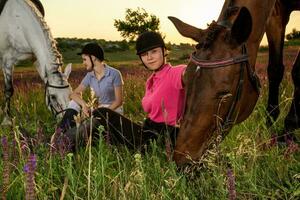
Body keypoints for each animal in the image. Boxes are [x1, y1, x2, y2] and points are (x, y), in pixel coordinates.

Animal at [169, 0, 300, 166]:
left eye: (224, 94)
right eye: (185, 82)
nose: (181, 161)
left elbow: (297, 71)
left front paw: (289, 130)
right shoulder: (276, 14)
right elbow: (275, 70)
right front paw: (270, 126)